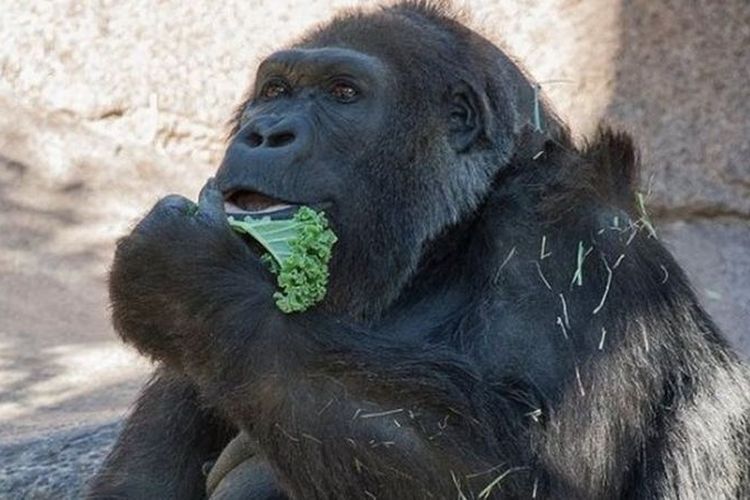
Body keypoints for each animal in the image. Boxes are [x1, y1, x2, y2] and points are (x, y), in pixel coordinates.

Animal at [86, 1, 750, 498]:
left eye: (343, 93)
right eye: (274, 90)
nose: (266, 131)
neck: (436, 254)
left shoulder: (576, 234)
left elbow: (535, 479)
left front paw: (187, 284)